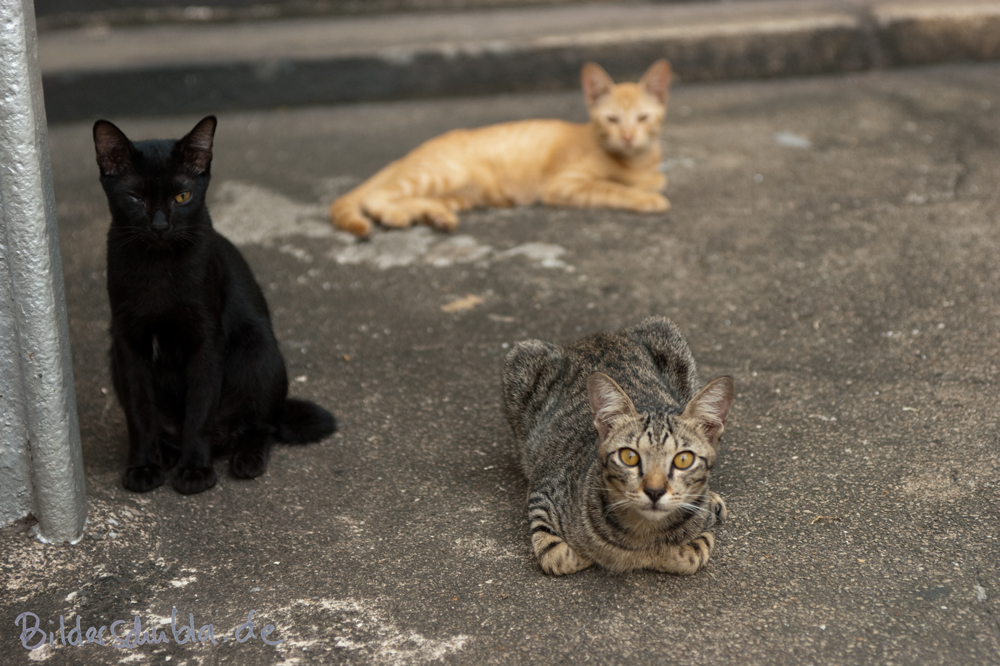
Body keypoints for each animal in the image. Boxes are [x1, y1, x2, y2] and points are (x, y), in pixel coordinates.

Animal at [94, 115, 336, 492]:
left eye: (182, 196)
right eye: (133, 197)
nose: (160, 225)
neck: (159, 268)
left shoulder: (207, 338)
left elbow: (199, 408)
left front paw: (196, 470)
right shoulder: (127, 342)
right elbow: (139, 412)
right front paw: (143, 466)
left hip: (259, 350)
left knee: (261, 425)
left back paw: (246, 458)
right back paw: (166, 453)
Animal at [332, 59, 676, 236]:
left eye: (643, 118)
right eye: (612, 119)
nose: (628, 136)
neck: (635, 162)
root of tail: (412, 151)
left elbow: (653, 180)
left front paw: (647, 186)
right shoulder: (562, 185)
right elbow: (612, 188)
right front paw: (645, 198)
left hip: (463, 194)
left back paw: (436, 216)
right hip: (443, 173)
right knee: (377, 196)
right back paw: (396, 214)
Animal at [504, 316, 732, 572]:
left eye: (684, 460)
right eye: (629, 457)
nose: (654, 491)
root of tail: (596, 336)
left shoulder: (702, 529)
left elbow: (693, 553)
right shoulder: (545, 492)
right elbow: (558, 554)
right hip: (522, 360)